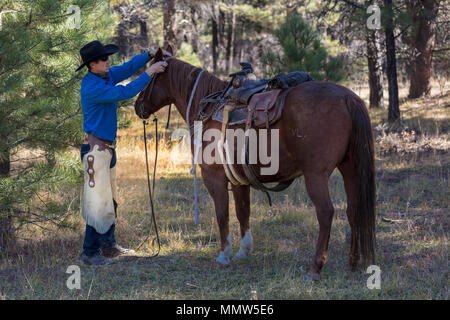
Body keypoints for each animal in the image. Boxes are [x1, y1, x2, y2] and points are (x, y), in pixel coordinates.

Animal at [136, 47, 376, 280]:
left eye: (150, 77)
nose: (138, 105)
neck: (210, 107)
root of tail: (348, 98)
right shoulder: (239, 179)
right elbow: (243, 212)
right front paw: (244, 251)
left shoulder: (214, 177)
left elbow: (222, 213)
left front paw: (224, 254)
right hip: (350, 169)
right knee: (353, 210)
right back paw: (353, 262)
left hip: (316, 175)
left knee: (326, 213)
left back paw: (315, 268)